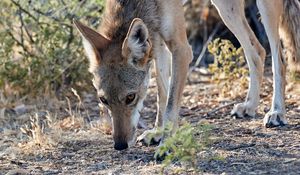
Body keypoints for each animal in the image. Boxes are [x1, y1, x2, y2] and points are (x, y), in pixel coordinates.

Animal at [74, 0, 192, 150]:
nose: (120, 145)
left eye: (130, 97)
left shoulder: (181, 49)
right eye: (103, 100)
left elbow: (170, 106)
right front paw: (158, 133)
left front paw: (167, 143)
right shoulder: (157, 41)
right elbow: (162, 97)